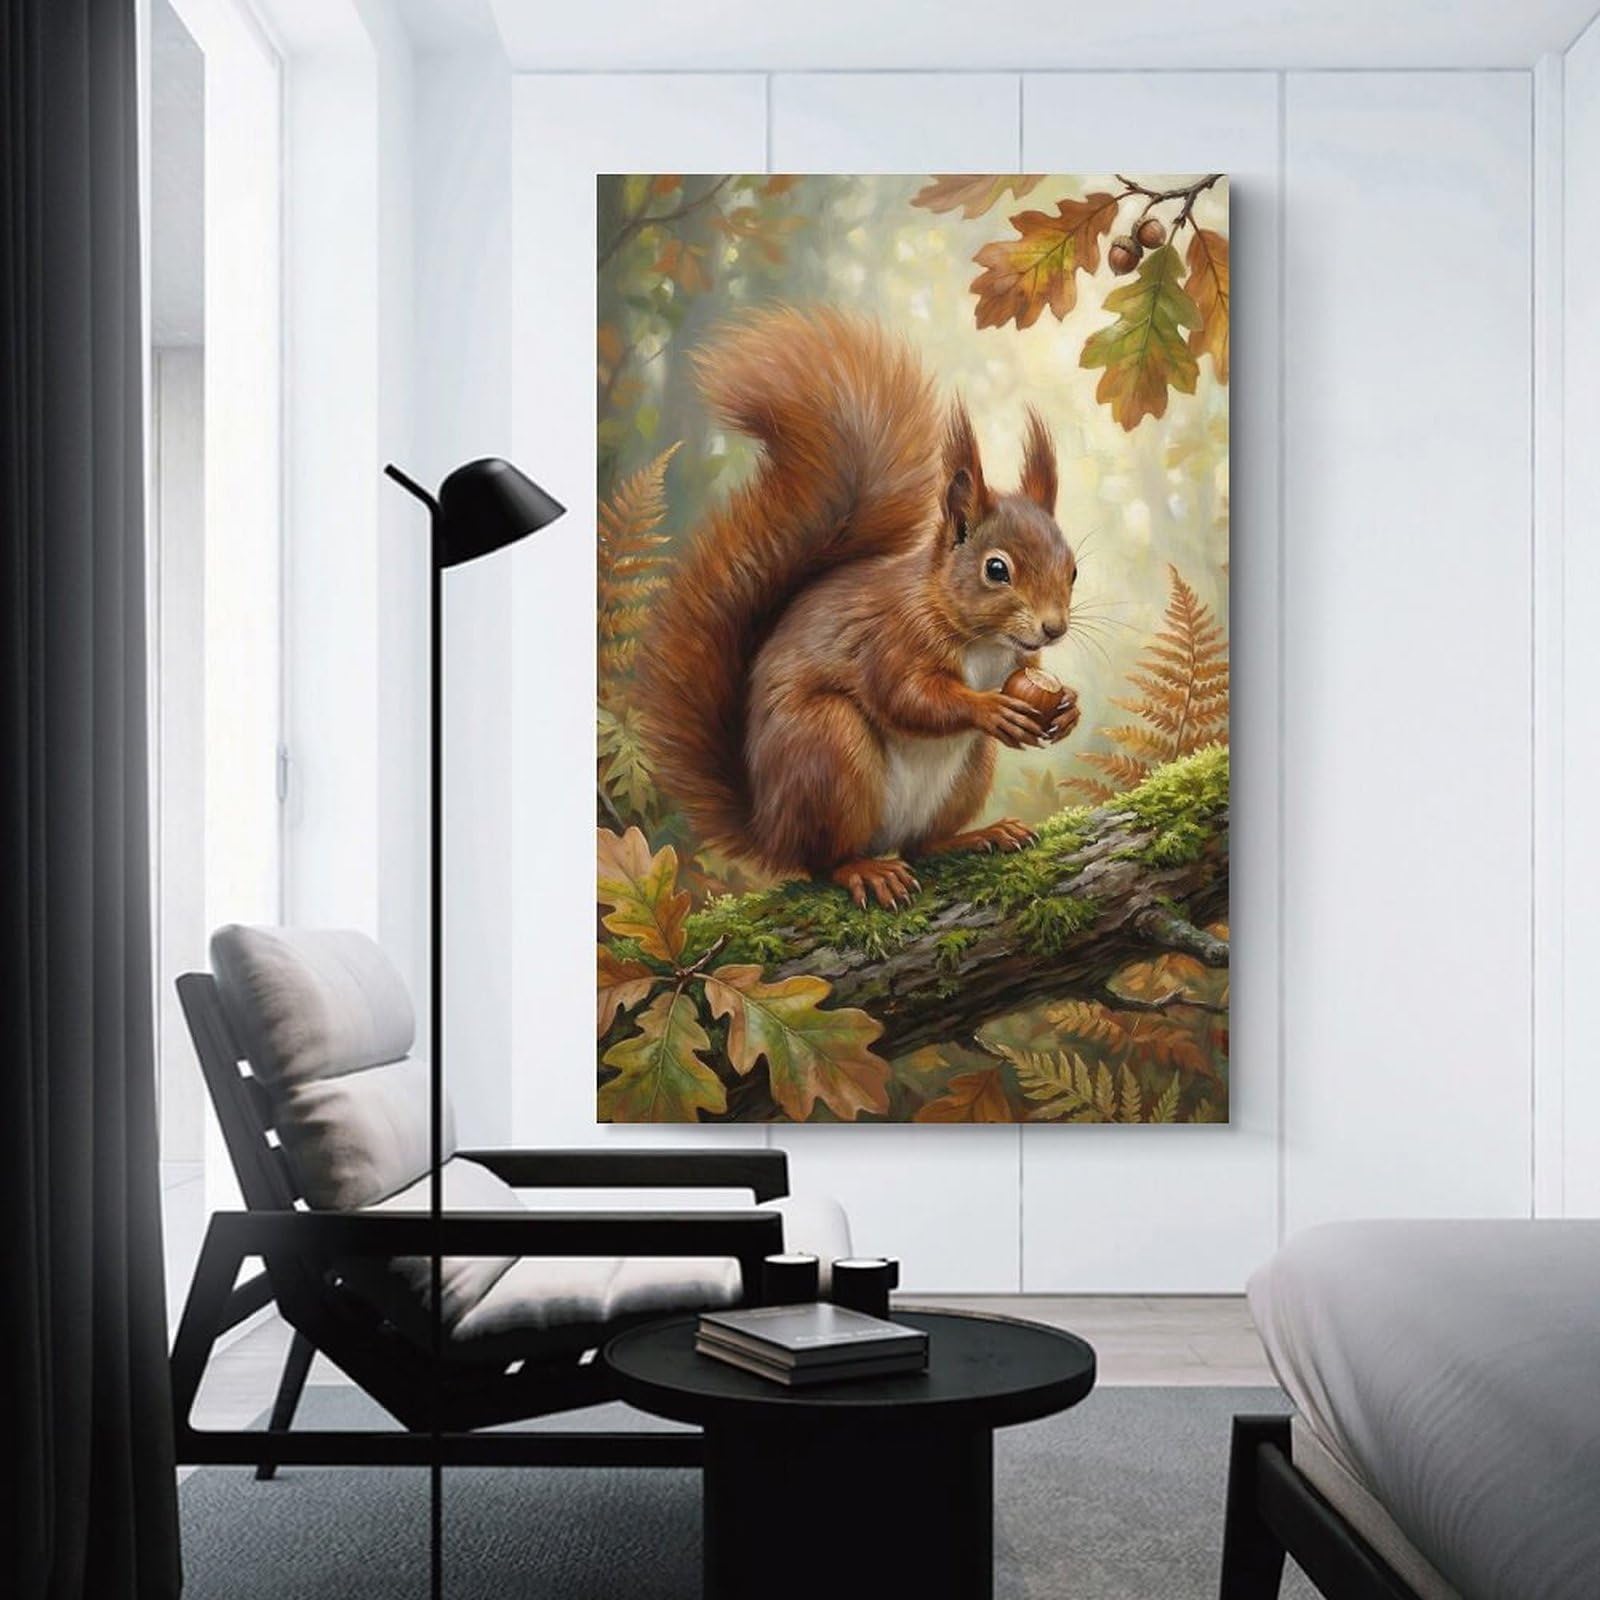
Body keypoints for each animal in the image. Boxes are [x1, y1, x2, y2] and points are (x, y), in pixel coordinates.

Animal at [636, 305, 1080, 911]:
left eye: (1073, 569)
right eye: (996, 569)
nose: (1053, 628)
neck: (984, 643)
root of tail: (770, 829)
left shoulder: (1020, 661)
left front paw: (1069, 708)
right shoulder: (891, 637)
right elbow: (907, 696)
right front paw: (989, 709)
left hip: (967, 773)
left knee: (921, 844)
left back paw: (976, 835)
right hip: (827, 750)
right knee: (825, 860)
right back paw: (864, 870)